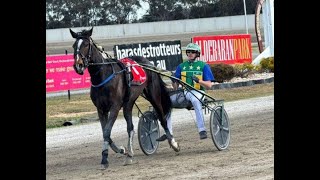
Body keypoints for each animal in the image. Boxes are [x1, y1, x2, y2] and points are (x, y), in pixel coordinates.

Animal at [69, 27, 180, 169]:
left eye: (86, 44)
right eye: (74, 45)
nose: (78, 65)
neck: (103, 76)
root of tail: (148, 63)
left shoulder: (115, 107)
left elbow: (107, 131)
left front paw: (104, 159)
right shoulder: (101, 109)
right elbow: (105, 132)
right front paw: (121, 150)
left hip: (153, 95)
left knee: (162, 117)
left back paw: (173, 143)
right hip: (129, 103)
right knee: (130, 128)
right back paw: (130, 155)